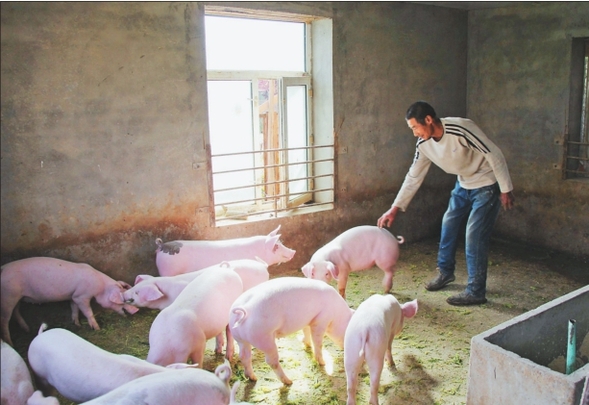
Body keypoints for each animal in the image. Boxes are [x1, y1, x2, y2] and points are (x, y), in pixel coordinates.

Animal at [0, 258, 138, 346]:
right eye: (124, 301)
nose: (136, 310)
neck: (99, 287)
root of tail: (2, 268)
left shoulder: (73, 296)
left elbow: (74, 309)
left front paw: (77, 324)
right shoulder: (81, 296)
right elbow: (88, 312)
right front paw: (97, 328)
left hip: (17, 297)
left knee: (16, 312)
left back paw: (27, 329)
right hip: (8, 296)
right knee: (5, 320)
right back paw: (10, 343)